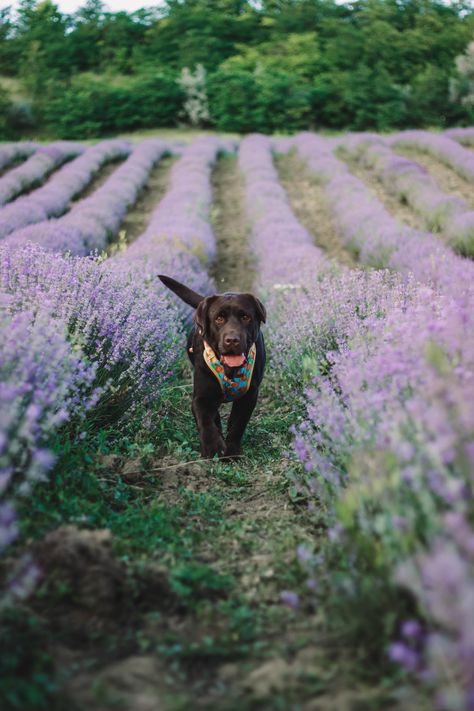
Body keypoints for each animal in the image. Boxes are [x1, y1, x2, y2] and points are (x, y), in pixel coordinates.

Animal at [157, 276, 264, 458]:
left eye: (245, 317)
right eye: (219, 319)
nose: (232, 340)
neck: (230, 370)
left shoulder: (249, 396)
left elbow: (237, 424)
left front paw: (232, 451)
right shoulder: (201, 397)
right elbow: (205, 421)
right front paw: (212, 447)